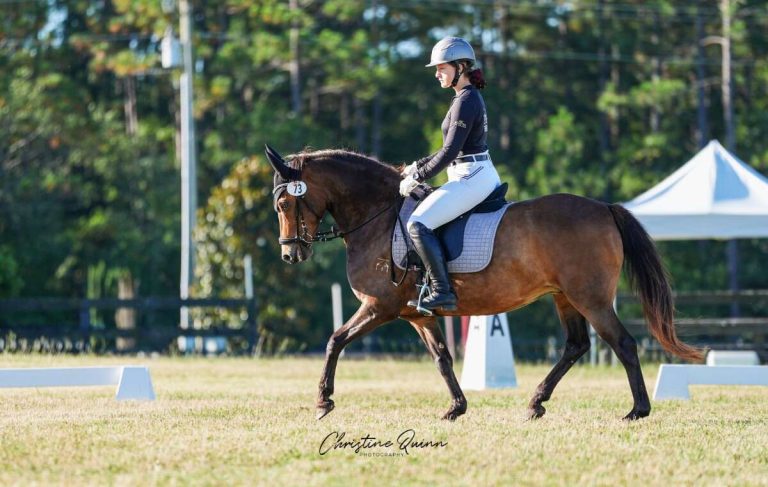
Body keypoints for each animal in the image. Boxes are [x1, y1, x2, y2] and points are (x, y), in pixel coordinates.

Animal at [264, 146, 704, 424]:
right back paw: (536, 403)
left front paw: (323, 401)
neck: (378, 216)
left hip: (591, 298)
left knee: (623, 343)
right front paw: (456, 408)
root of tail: (603, 208)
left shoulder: (379, 306)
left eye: (284, 204)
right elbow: (442, 358)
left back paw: (637, 411)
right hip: (565, 297)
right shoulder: (417, 316)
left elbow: (335, 340)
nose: (290, 254)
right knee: (576, 345)